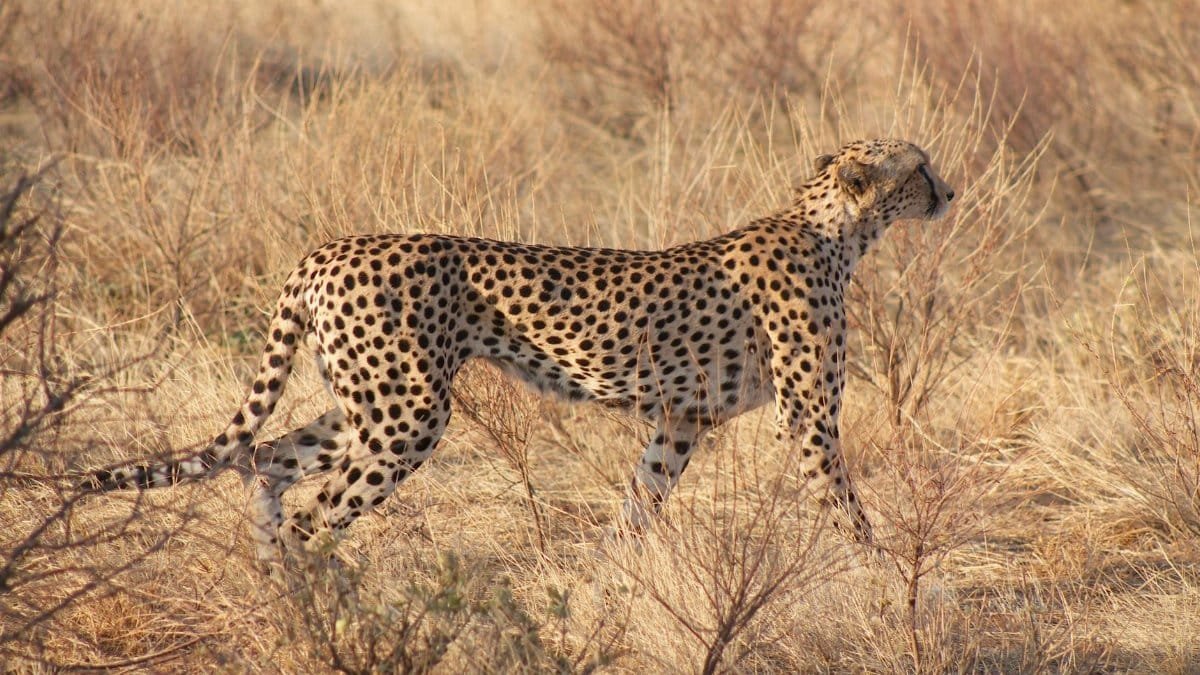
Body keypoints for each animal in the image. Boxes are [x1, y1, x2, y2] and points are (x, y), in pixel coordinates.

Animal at [83, 138, 955, 565]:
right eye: (919, 166)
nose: (950, 191)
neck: (836, 228)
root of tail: (329, 248)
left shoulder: (680, 419)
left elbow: (640, 501)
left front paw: (605, 583)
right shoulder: (805, 418)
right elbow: (845, 506)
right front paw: (881, 578)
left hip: (366, 403)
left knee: (266, 459)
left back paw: (272, 583)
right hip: (406, 416)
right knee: (311, 511)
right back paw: (325, 606)